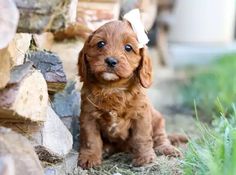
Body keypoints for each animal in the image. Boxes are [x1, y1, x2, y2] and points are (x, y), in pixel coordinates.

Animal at [78, 19, 181, 169]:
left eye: (128, 47)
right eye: (101, 43)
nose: (111, 61)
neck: (113, 87)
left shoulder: (141, 115)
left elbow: (142, 137)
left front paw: (145, 159)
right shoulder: (88, 116)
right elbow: (91, 139)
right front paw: (90, 158)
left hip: (158, 119)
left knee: (161, 137)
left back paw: (167, 149)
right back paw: (106, 149)